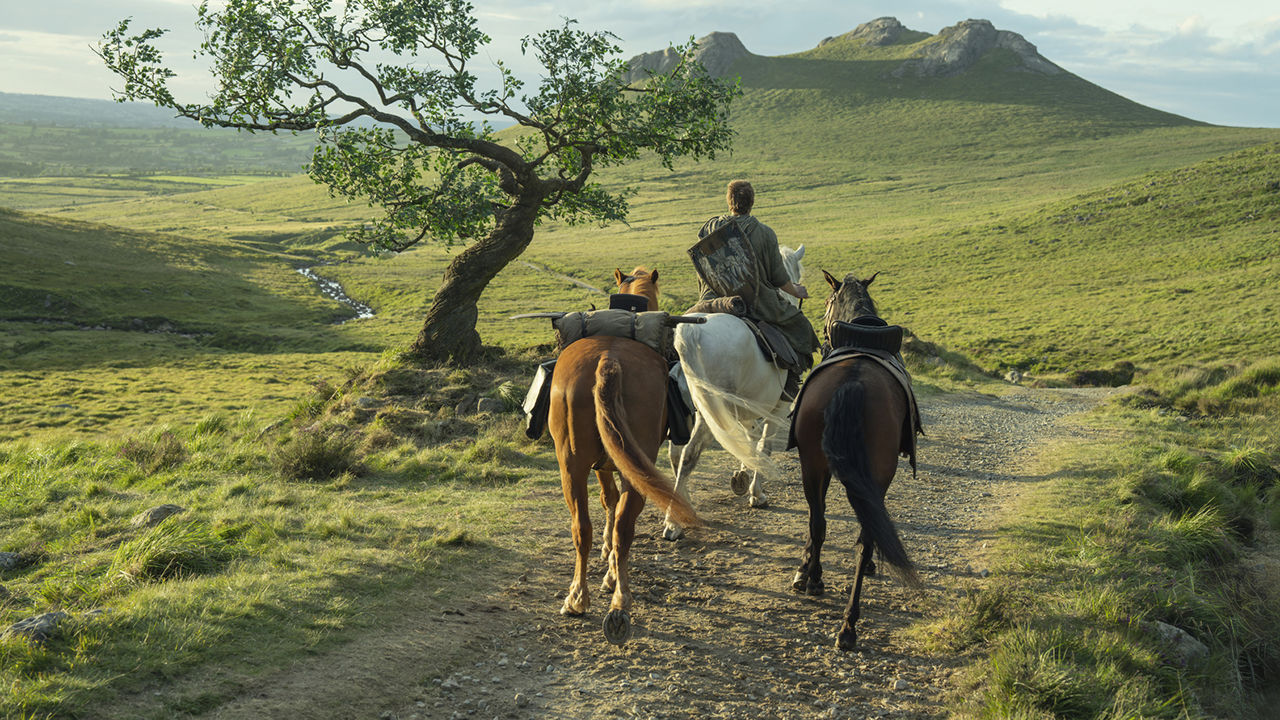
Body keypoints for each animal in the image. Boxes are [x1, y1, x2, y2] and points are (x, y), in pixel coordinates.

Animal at [547, 267, 698, 644]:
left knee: (581, 528)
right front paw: (612, 568)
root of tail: (608, 359)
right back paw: (619, 600)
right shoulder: (611, 466)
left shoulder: (599, 465)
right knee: (623, 528)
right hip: (632, 470)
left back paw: (578, 598)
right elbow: (612, 504)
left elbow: (606, 502)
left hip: (571, 467)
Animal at [661, 245, 809, 541]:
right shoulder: (779, 410)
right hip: (709, 414)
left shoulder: (745, 411)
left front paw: (743, 476)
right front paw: (756, 493)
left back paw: (685, 507)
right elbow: (764, 446)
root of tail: (691, 330)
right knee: (689, 454)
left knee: (676, 453)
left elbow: (749, 440)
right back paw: (673, 522)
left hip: (693, 413)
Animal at [790, 270, 921, 650]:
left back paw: (821, 587)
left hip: (813, 465)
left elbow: (818, 523)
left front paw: (805, 570)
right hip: (866, 474)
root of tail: (853, 381)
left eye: (827, 302)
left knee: (821, 524)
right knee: (864, 537)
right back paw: (848, 622)